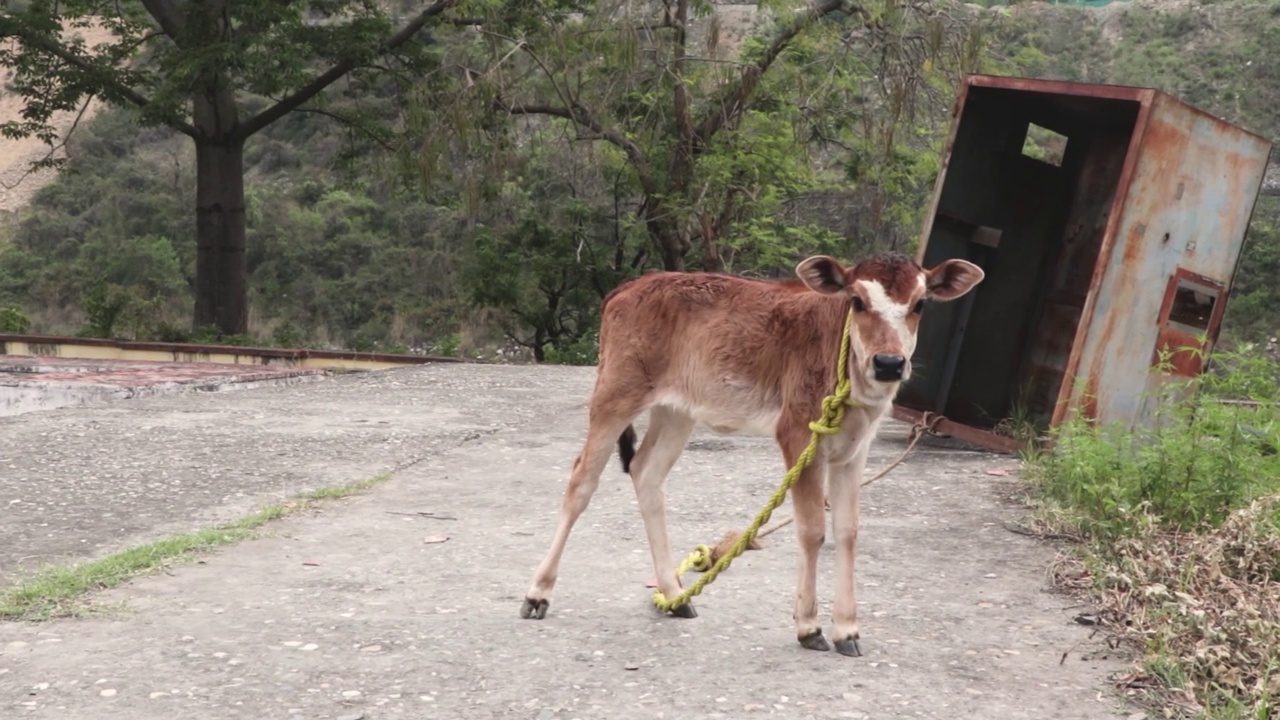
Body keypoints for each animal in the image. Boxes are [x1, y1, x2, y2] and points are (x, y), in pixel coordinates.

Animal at [517, 252, 977, 655]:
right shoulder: (798, 432)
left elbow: (847, 531)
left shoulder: (853, 449)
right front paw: (809, 626)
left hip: (677, 410)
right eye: (857, 301)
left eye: (920, 304)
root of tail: (629, 286)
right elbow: (812, 529)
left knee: (646, 472)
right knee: (582, 480)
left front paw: (848, 629)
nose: (888, 363)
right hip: (616, 390)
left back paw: (675, 595)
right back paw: (538, 594)